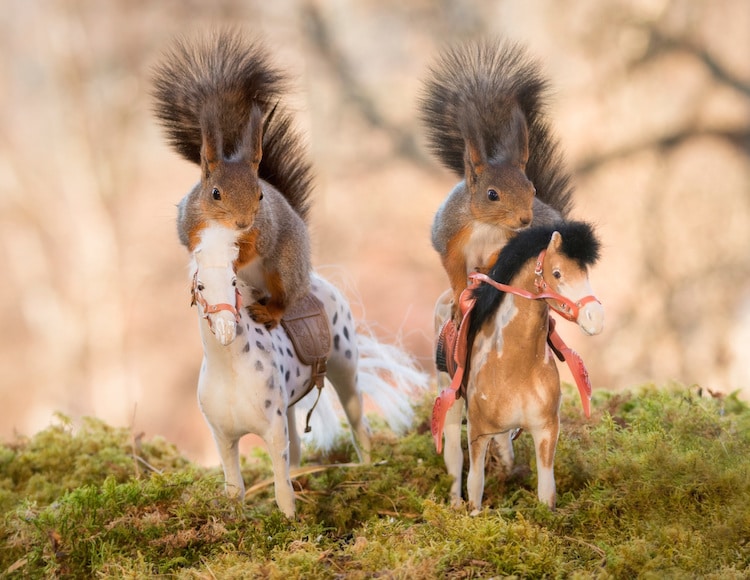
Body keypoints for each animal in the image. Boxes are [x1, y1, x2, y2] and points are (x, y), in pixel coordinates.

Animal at [153, 29, 314, 328]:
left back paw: (270, 312)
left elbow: (253, 250)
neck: (223, 227)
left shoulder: (262, 230)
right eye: (215, 193)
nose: (242, 222)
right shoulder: (190, 225)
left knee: (286, 298)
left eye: (260, 194)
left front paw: (235, 263)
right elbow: (194, 249)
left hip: (286, 265)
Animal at [424, 39, 576, 322]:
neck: (487, 225)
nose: (525, 220)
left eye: (532, 189)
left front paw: (486, 270)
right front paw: (458, 300)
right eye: (492, 194)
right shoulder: (450, 240)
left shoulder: (513, 242)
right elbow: (454, 271)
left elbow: (501, 258)